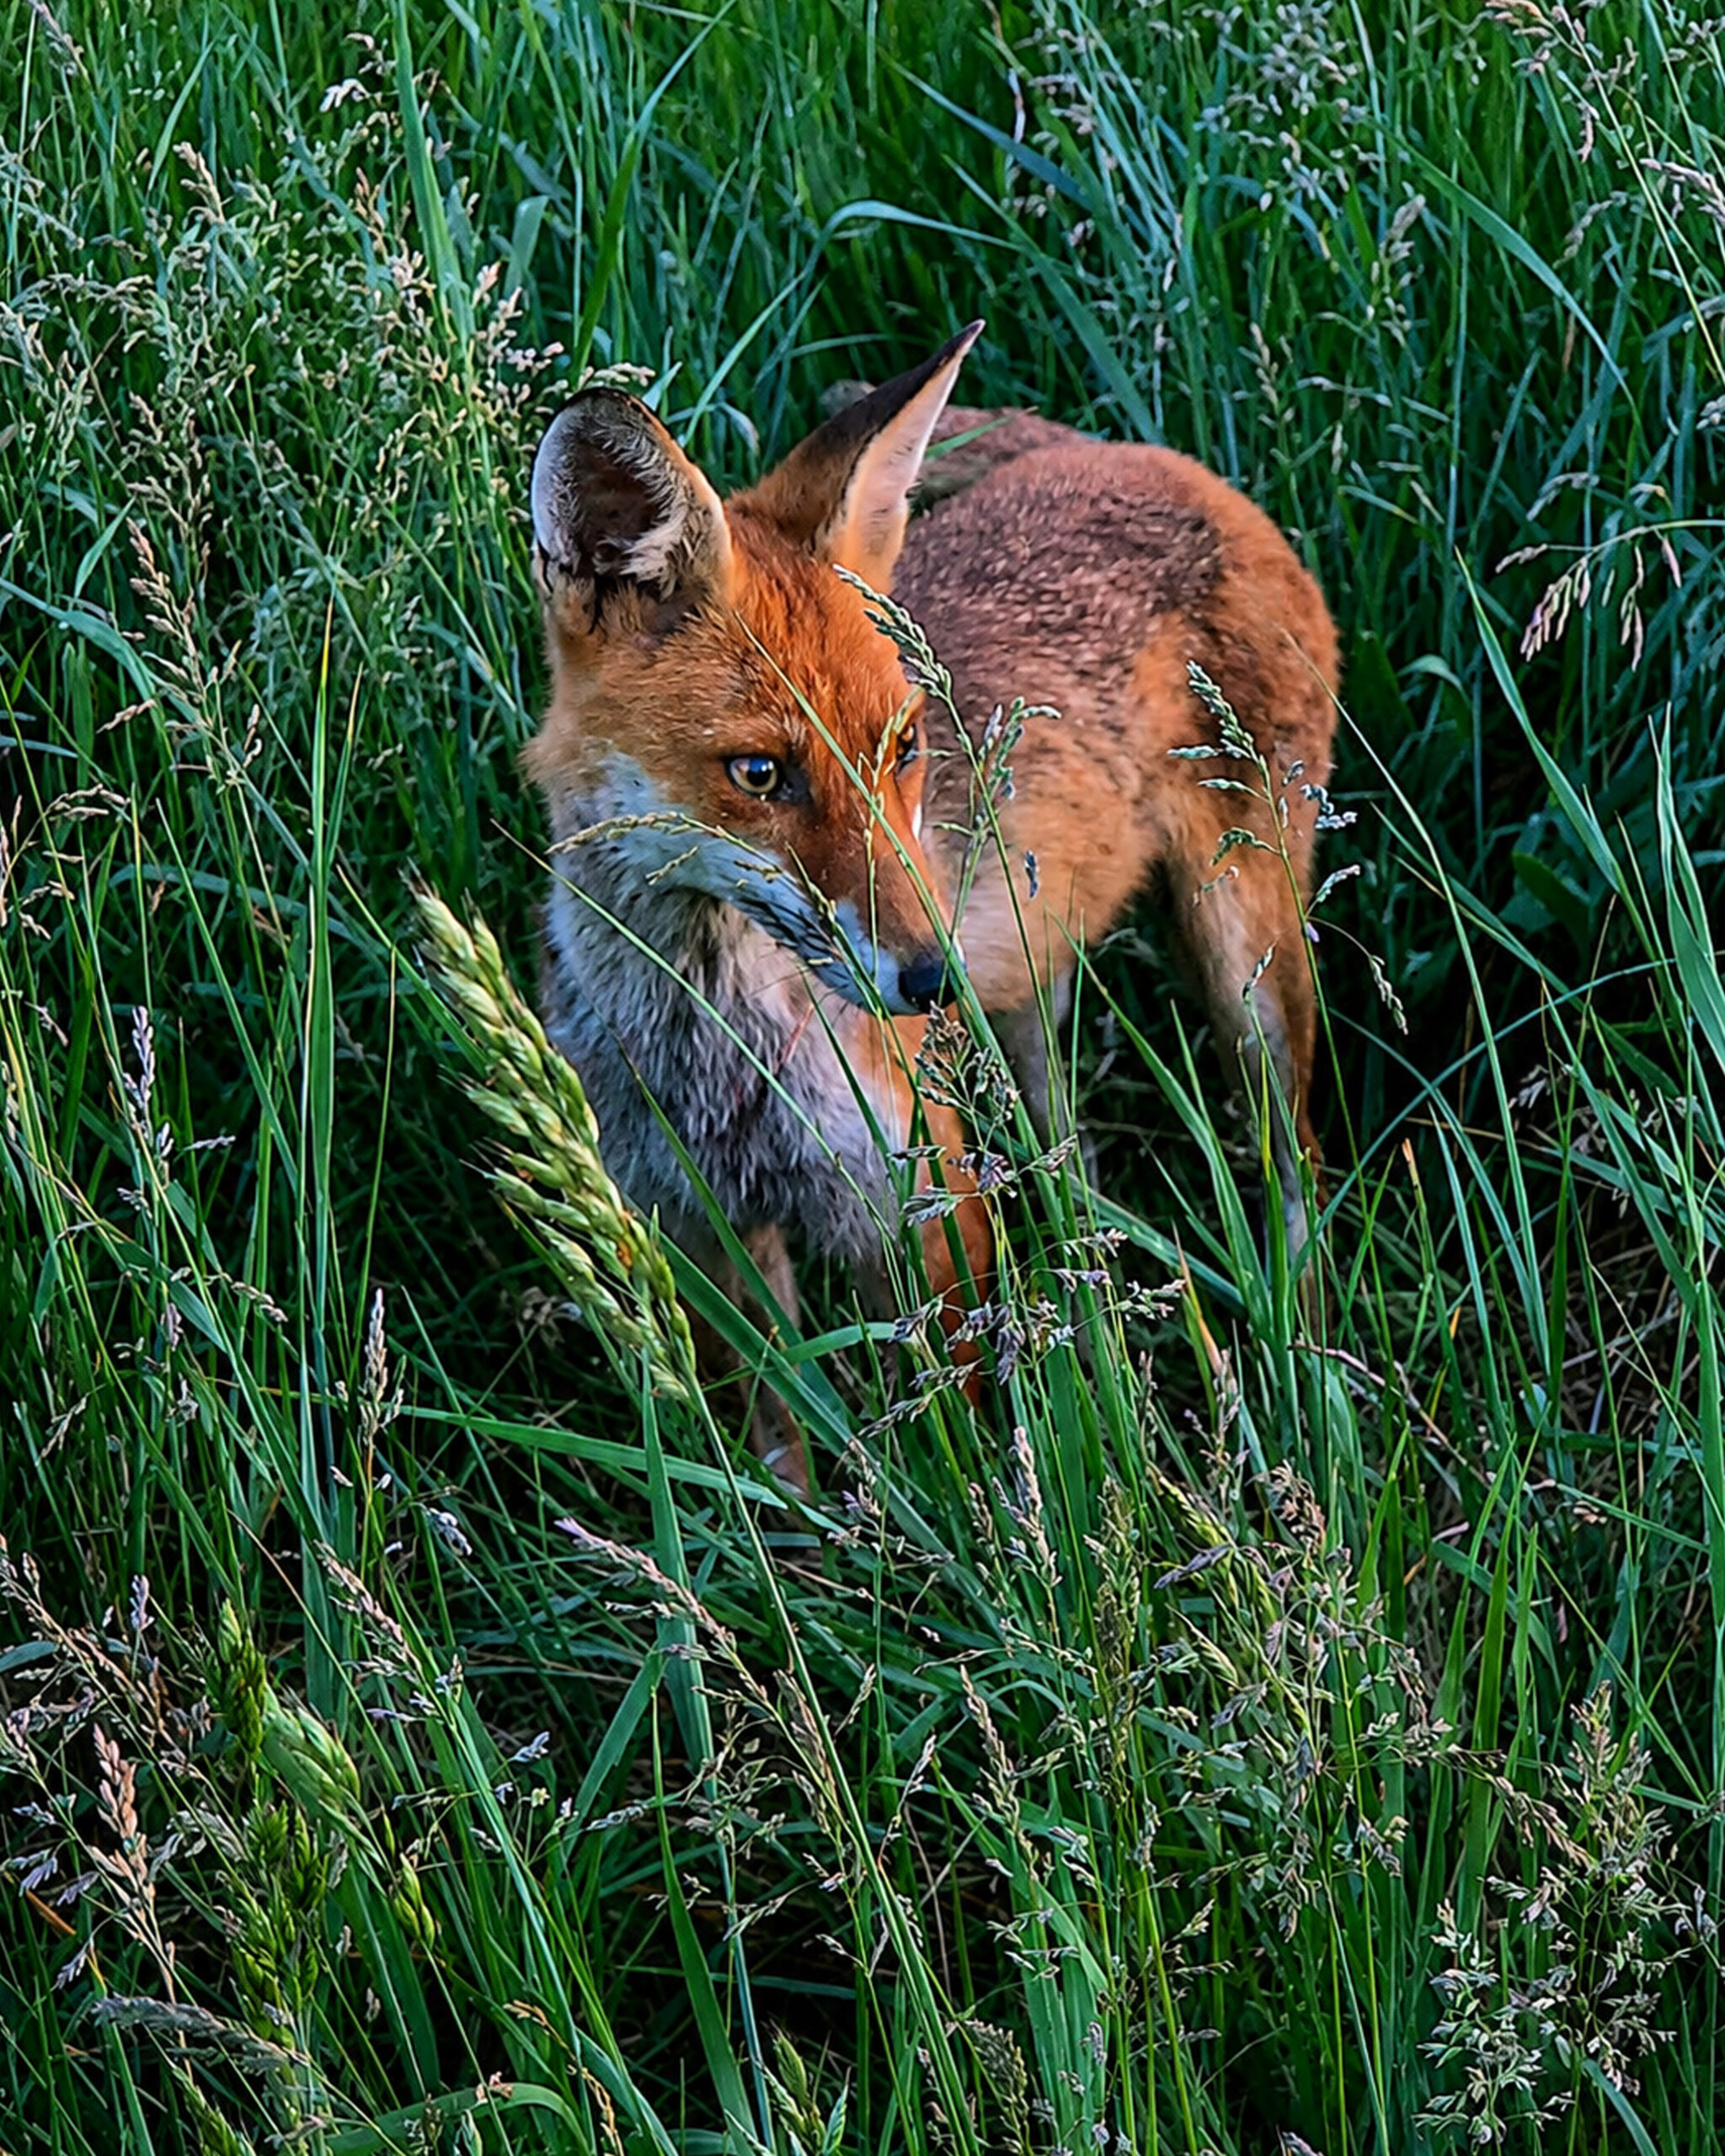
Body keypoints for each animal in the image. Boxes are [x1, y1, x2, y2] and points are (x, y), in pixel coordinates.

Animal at [525, 320, 1338, 1495]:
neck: (719, 1050)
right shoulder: (700, 1222)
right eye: (761, 774)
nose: (927, 978)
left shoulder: (922, 1204)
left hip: (1246, 969)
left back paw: (1303, 1373)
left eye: (902, 746)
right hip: (1030, 1005)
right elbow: (782, 1454)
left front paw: (993, 1528)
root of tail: (1129, 454)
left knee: (1295, 1164)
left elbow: (959, 1447)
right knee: (1067, 1148)